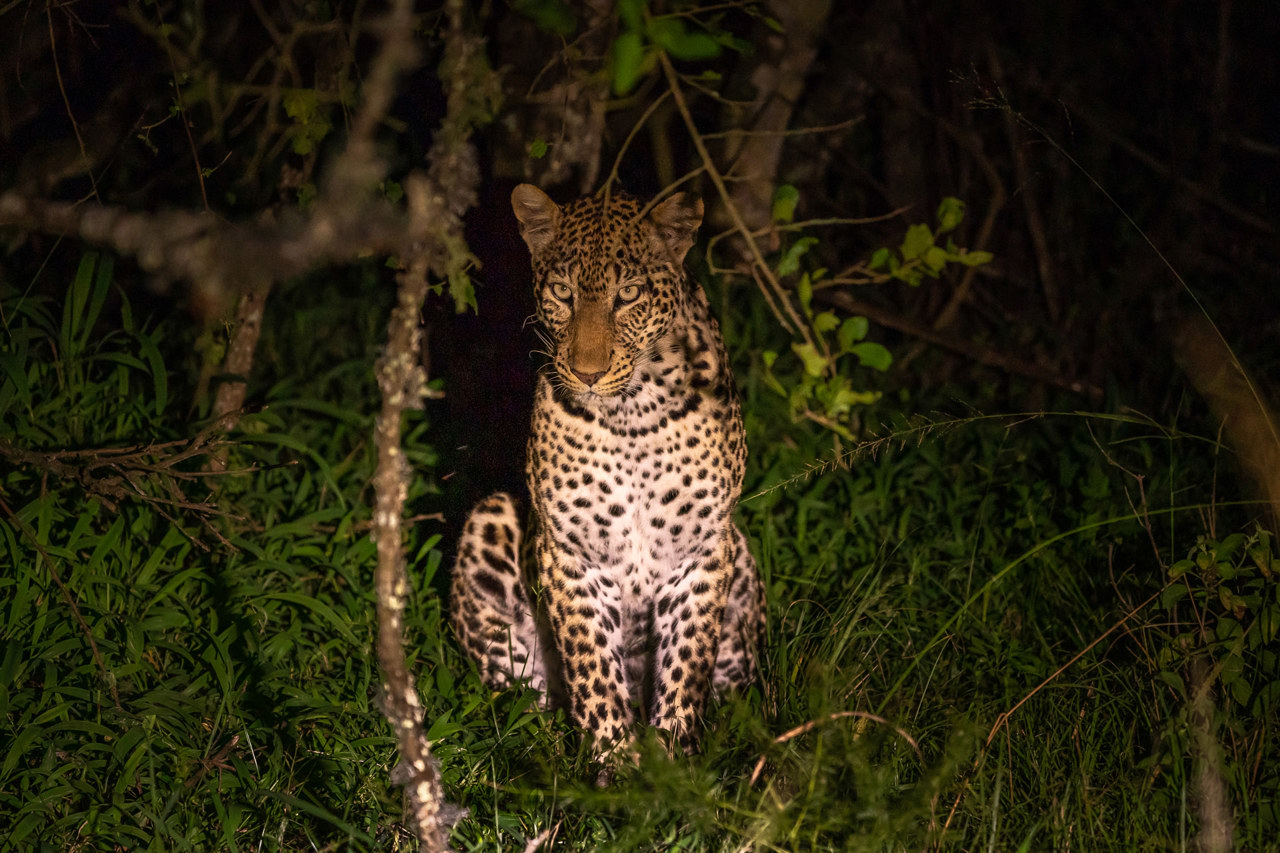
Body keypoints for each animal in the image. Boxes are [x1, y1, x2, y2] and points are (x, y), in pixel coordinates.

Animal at [449, 184, 765, 762]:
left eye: (630, 294)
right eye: (562, 292)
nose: (587, 373)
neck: (632, 414)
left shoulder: (702, 548)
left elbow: (686, 666)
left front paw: (671, 764)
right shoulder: (570, 553)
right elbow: (592, 668)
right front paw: (615, 764)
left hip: (742, 553)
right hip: (492, 521)